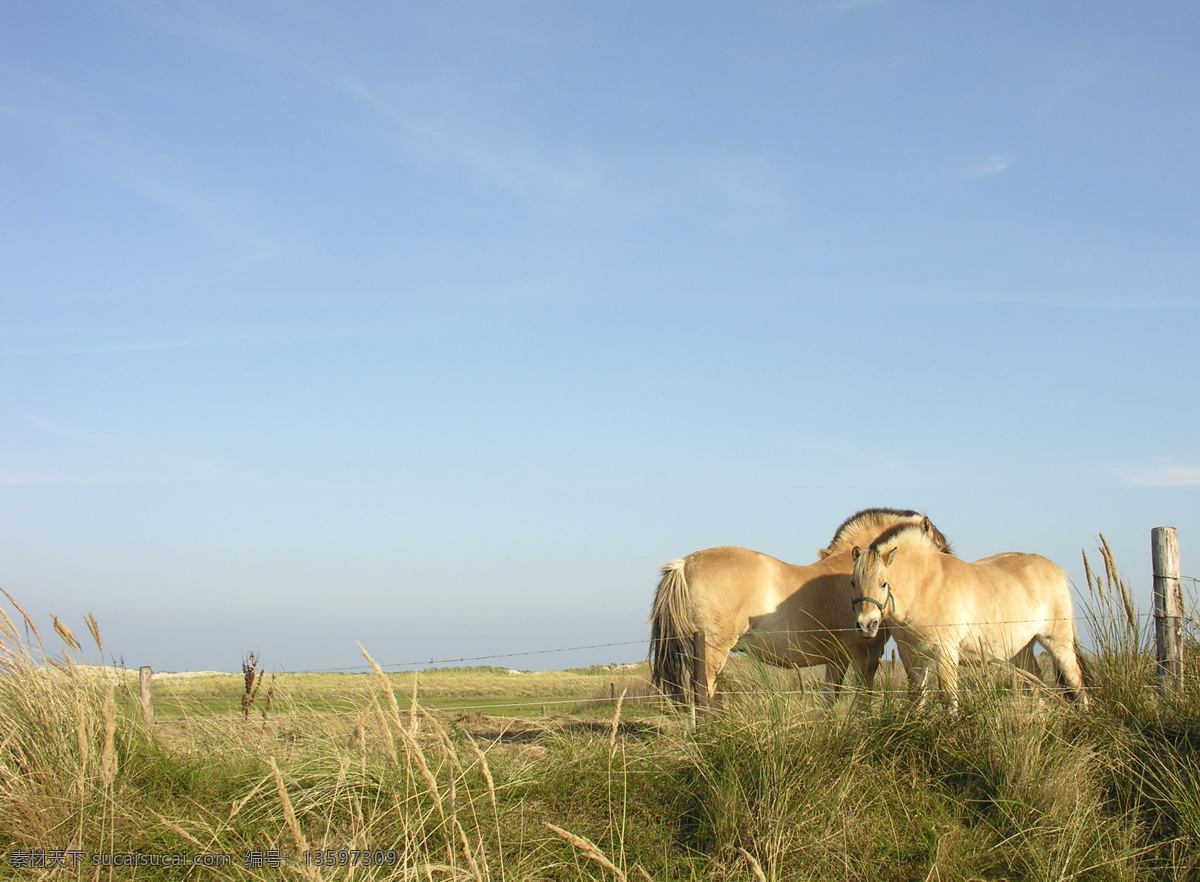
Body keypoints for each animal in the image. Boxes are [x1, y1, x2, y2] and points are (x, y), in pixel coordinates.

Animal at [652, 511, 950, 705]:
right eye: (940, 548)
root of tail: (684, 565)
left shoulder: (837, 659)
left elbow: (829, 699)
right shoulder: (866, 654)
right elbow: (863, 700)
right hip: (712, 651)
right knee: (701, 695)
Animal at [854, 520, 1089, 705]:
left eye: (884, 584)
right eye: (853, 583)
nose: (866, 625)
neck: (924, 585)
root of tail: (1058, 572)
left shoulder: (946, 652)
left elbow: (948, 696)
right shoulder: (911, 655)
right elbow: (917, 697)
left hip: (1057, 643)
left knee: (1076, 684)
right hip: (1021, 650)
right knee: (1034, 682)